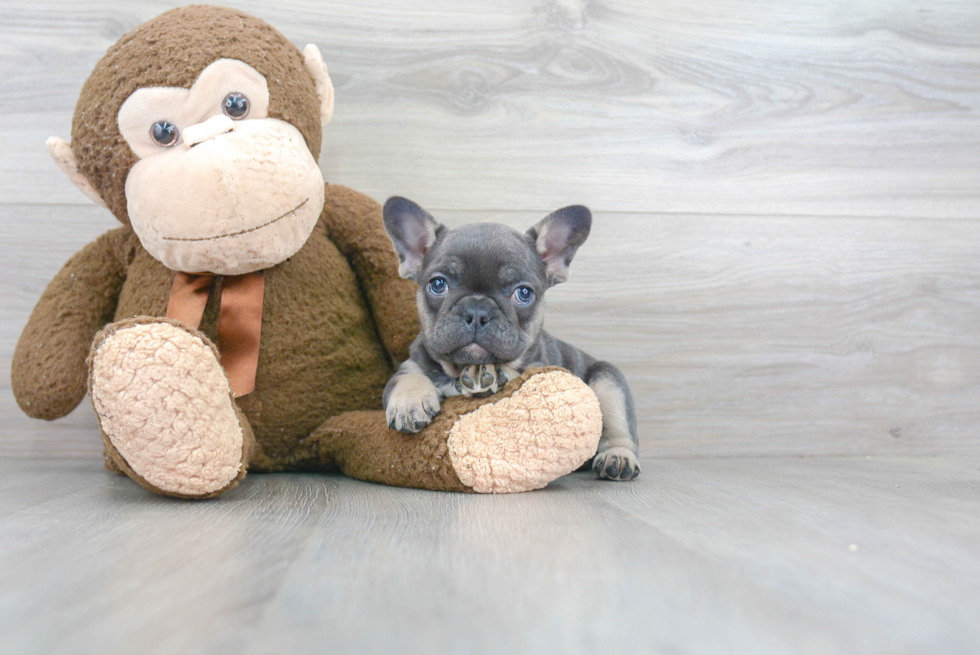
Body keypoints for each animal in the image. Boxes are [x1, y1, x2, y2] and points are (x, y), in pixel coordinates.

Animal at [378, 196, 640, 482]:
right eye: (438, 284)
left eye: (523, 293)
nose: (477, 311)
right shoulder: (412, 363)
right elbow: (405, 378)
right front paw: (409, 401)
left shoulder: (538, 366)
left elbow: (514, 375)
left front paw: (489, 376)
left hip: (608, 380)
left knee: (618, 429)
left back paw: (618, 457)